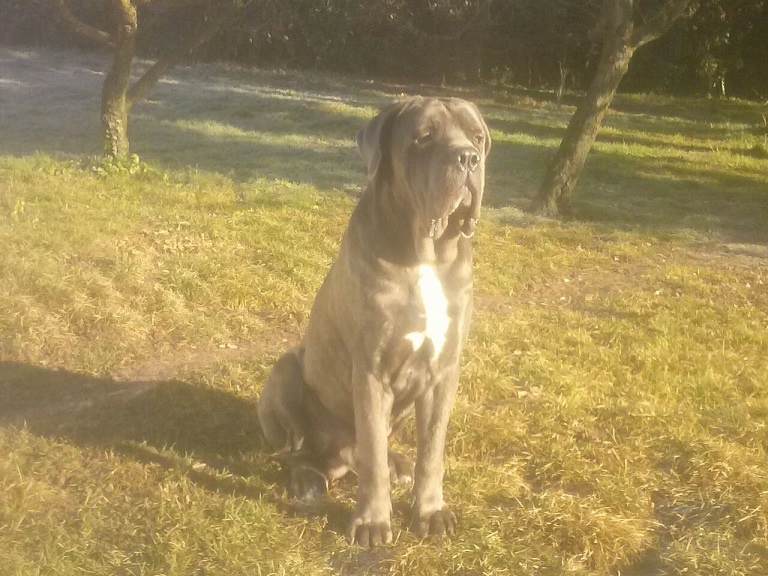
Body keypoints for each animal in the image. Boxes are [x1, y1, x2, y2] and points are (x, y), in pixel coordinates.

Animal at [257, 96, 490, 546]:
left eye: (477, 138)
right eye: (424, 137)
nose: (468, 158)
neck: (426, 255)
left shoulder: (443, 372)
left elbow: (432, 451)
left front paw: (430, 510)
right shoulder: (371, 371)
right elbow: (372, 457)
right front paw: (372, 522)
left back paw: (398, 464)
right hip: (286, 369)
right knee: (296, 451)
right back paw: (307, 479)